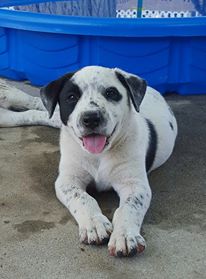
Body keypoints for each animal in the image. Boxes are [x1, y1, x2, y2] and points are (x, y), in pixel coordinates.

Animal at [0, 65, 177, 258]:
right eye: (71, 97)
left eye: (111, 93)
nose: (91, 118)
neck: (99, 155)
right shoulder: (67, 180)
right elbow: (83, 198)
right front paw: (94, 224)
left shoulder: (135, 185)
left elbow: (129, 207)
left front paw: (124, 235)